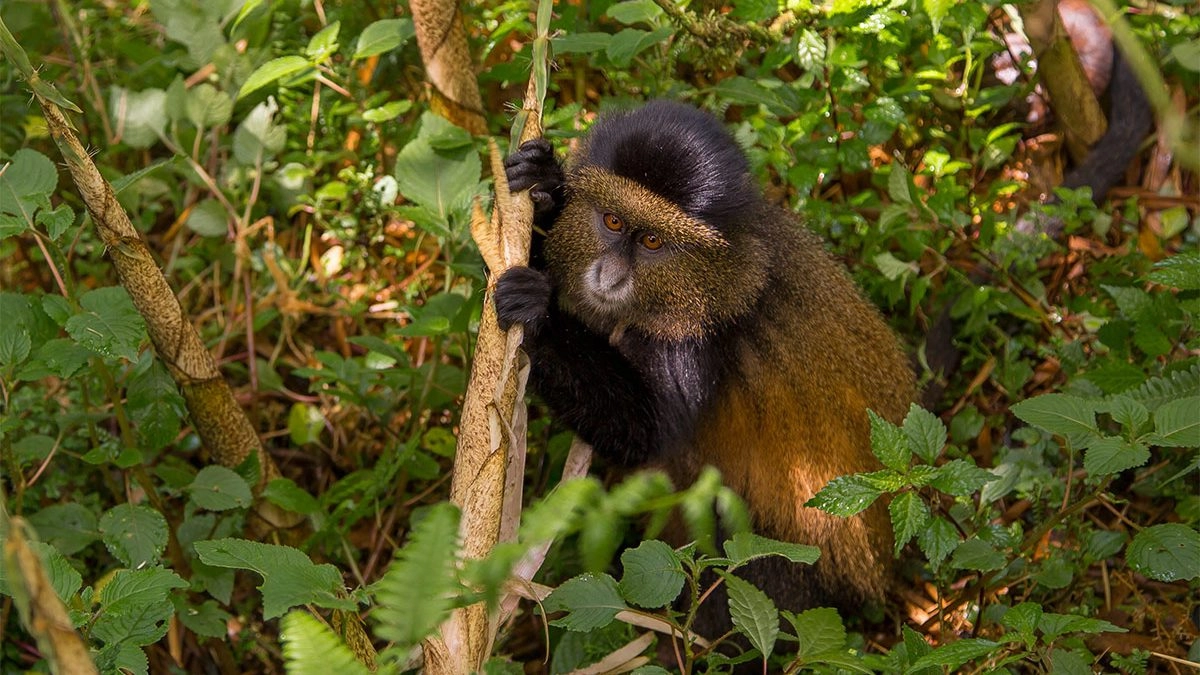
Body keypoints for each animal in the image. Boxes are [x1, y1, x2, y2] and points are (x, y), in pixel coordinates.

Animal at [493, 100, 918, 640]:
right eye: (611, 221)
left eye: (653, 241)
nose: (609, 275)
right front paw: (545, 182)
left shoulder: (694, 340)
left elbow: (646, 434)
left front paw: (539, 313)